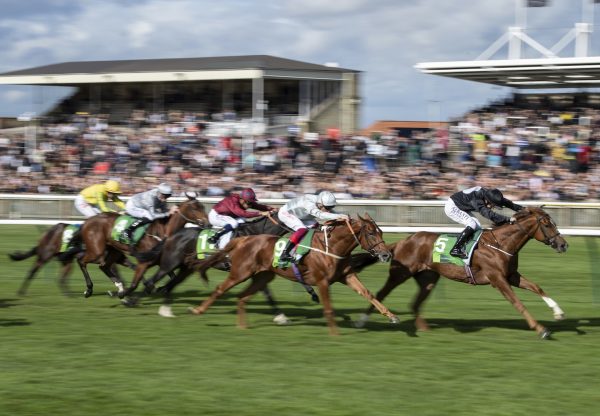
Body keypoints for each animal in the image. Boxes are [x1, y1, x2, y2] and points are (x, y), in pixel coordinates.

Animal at [77, 197, 209, 298]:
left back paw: (119, 288)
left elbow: (172, 277)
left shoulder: (161, 260)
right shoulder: (146, 260)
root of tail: (88, 221)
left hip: (114, 250)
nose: (207, 223)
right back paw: (89, 290)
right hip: (96, 250)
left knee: (104, 266)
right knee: (81, 261)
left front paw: (158, 289)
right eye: (195, 208)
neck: (163, 231)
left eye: (202, 207)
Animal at [190, 214, 400, 334]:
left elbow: (368, 294)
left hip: (263, 276)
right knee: (220, 289)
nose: (386, 255)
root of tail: (243, 240)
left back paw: (242, 326)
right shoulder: (322, 281)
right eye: (371, 233)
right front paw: (335, 333)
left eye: (381, 232)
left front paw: (391, 316)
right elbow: (328, 308)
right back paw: (198, 310)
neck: (331, 247)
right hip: (240, 272)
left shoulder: (347, 276)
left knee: (242, 297)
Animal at [352, 206, 568, 340]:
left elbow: (536, 287)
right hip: (400, 274)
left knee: (415, 303)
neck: (501, 244)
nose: (563, 244)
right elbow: (518, 303)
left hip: (429, 278)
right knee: (380, 293)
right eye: (547, 224)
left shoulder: (511, 276)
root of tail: (403, 241)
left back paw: (424, 328)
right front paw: (541, 329)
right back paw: (362, 321)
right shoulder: (497, 279)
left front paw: (558, 312)